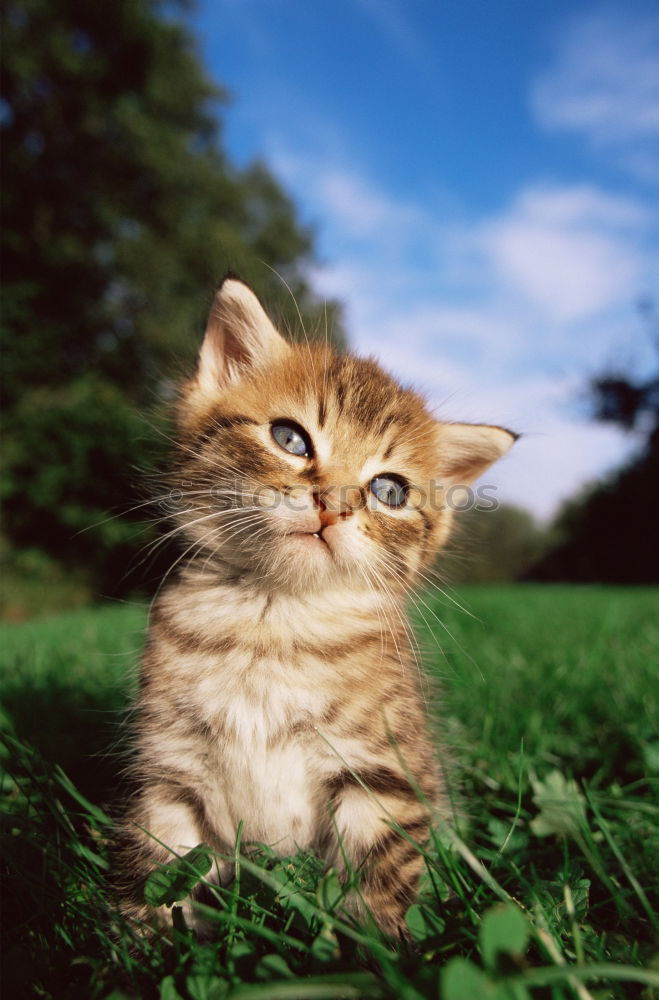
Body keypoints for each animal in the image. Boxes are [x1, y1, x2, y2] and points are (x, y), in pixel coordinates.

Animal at [116, 276, 520, 936]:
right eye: (289, 438)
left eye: (389, 491)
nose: (333, 503)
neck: (270, 621)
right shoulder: (167, 772)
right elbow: (160, 870)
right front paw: (147, 942)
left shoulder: (384, 776)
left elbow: (377, 890)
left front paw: (380, 947)